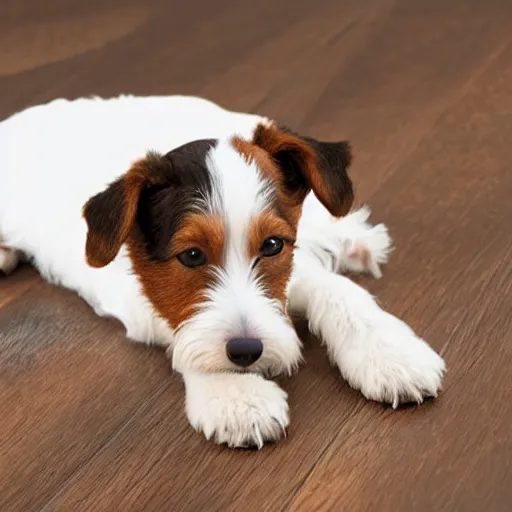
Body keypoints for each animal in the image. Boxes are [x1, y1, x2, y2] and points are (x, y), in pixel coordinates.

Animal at [0, 95, 444, 448]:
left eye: (272, 246)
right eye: (192, 255)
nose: (247, 352)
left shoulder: (293, 267)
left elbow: (339, 290)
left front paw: (389, 353)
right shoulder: (141, 302)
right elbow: (184, 332)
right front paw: (236, 395)